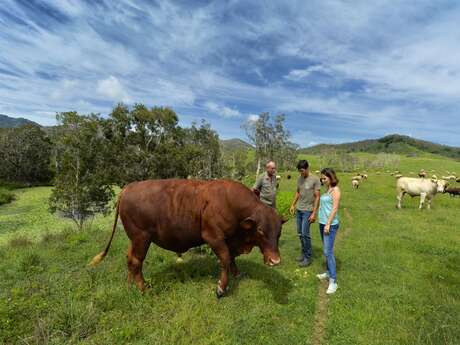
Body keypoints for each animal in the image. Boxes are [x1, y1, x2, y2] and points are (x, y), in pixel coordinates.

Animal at [89, 180, 284, 296]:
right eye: (261, 230)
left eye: (279, 231)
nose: (275, 260)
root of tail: (128, 188)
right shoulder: (214, 237)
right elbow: (225, 259)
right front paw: (221, 287)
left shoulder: (230, 240)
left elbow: (232, 259)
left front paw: (237, 274)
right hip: (141, 238)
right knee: (136, 261)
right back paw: (144, 289)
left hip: (135, 240)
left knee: (129, 258)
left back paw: (131, 284)